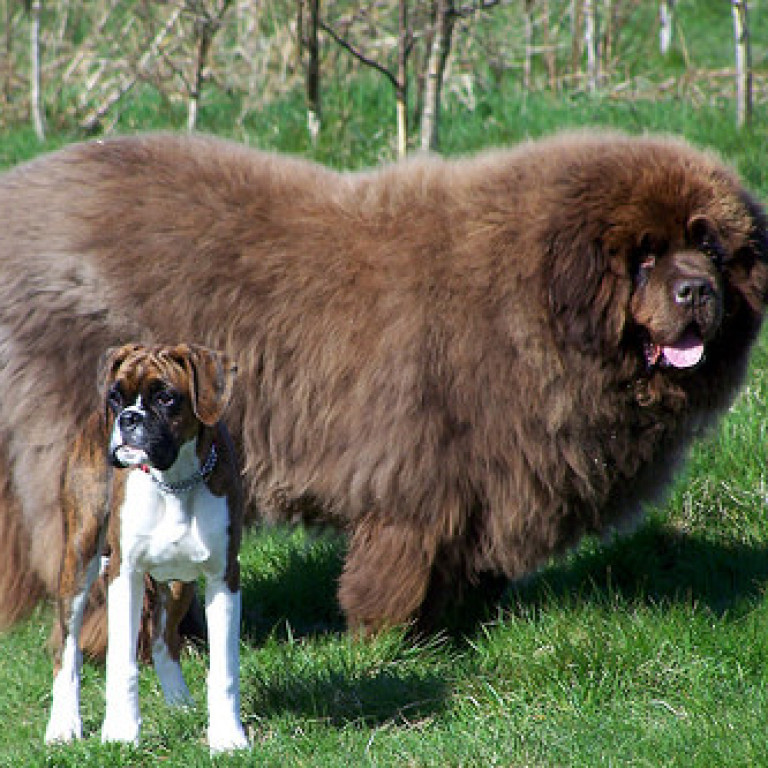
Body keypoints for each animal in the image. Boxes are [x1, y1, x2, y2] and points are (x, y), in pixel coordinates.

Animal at [1, 129, 768, 640]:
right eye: (644, 257)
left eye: (710, 246)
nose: (698, 291)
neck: (533, 304)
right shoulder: (421, 468)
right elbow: (400, 564)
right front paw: (387, 641)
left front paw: (448, 626)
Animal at [45, 344, 248, 752]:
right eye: (115, 396)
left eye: (166, 398)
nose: (127, 418)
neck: (175, 481)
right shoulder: (125, 575)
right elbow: (121, 664)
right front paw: (121, 733)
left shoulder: (223, 579)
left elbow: (224, 669)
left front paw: (227, 736)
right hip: (79, 559)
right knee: (67, 644)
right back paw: (63, 724)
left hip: (179, 583)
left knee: (162, 640)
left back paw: (180, 703)